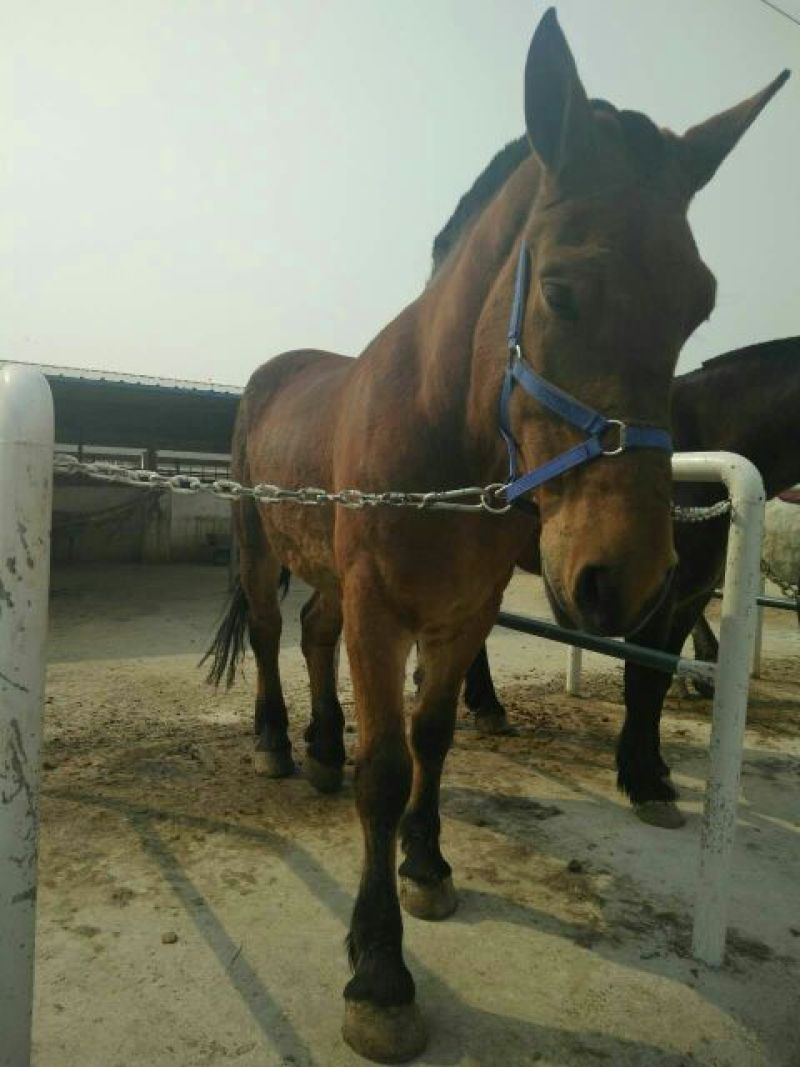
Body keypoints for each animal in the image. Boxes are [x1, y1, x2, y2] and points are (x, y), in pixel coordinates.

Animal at [463, 336, 800, 829]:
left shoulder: (689, 598)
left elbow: (658, 679)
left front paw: (655, 767)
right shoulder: (653, 599)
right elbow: (641, 680)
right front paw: (644, 784)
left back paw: (484, 706)